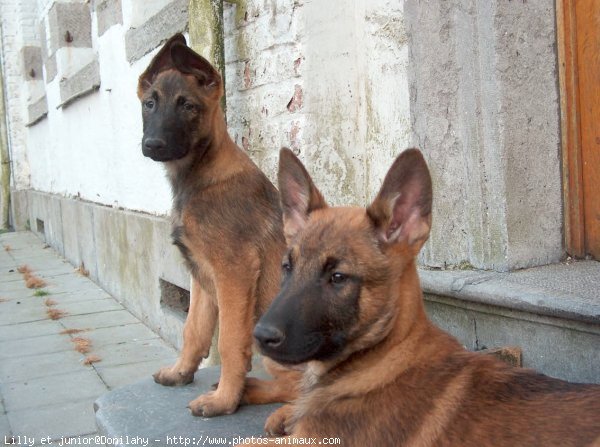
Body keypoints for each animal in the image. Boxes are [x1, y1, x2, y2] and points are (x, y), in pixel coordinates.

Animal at [137, 34, 296, 416]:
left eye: (188, 107)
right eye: (150, 104)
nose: (153, 144)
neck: (199, 174)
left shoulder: (234, 270)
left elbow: (229, 342)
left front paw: (225, 400)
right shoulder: (201, 274)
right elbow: (194, 330)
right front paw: (181, 372)